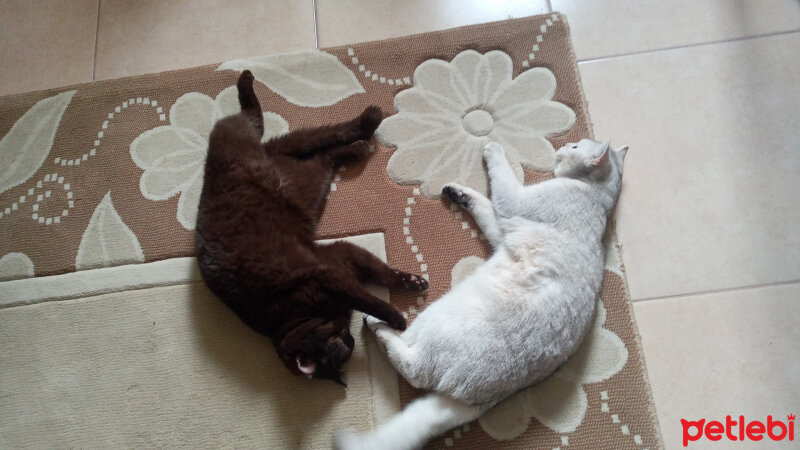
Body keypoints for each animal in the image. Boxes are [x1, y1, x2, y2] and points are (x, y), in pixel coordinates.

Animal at [195, 71, 428, 386]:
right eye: (342, 344)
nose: (350, 337)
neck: (290, 319)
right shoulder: (341, 255)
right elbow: (382, 273)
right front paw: (411, 286)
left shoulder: (331, 275)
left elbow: (371, 296)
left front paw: (396, 316)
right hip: (310, 177)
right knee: (326, 149)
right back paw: (361, 141)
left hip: (252, 139)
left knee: (257, 118)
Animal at [334, 139, 628, 448]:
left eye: (574, 147)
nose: (562, 147)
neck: (594, 195)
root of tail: (472, 399)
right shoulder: (500, 230)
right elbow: (484, 205)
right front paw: (459, 192)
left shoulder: (514, 203)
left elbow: (500, 179)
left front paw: (492, 147)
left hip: (436, 316)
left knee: (413, 367)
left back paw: (376, 325)